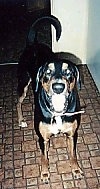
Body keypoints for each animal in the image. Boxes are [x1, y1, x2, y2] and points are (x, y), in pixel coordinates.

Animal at [17, 15, 83, 184]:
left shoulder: (72, 134)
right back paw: (21, 120)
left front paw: (76, 170)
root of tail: (32, 44)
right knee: (18, 102)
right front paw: (45, 174)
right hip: (23, 83)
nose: (58, 87)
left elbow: (73, 154)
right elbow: (43, 158)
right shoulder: (43, 139)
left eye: (68, 72)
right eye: (48, 72)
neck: (58, 112)